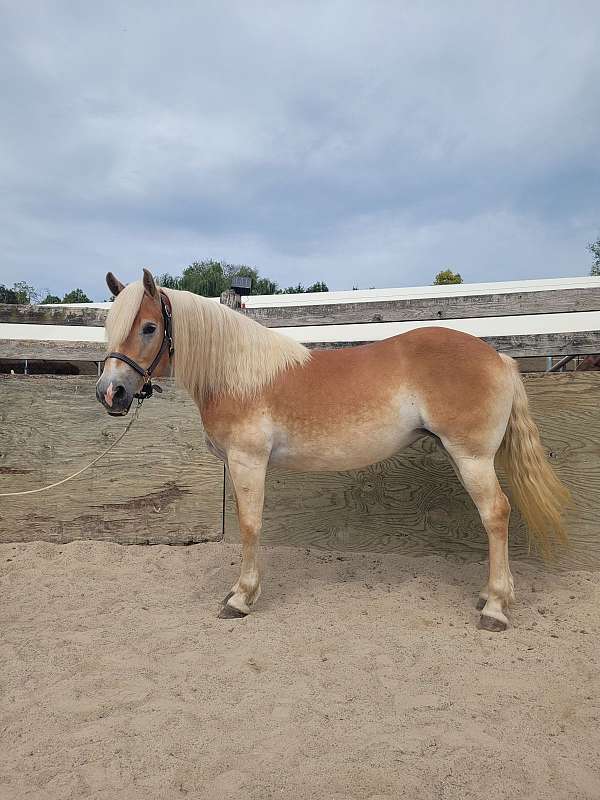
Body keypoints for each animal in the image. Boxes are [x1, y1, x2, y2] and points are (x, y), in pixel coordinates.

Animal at [96, 268, 568, 632]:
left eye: (149, 327)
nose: (110, 393)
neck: (238, 374)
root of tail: (498, 357)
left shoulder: (249, 461)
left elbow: (250, 525)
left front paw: (241, 598)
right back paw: (488, 596)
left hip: (472, 458)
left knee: (496, 514)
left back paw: (496, 608)